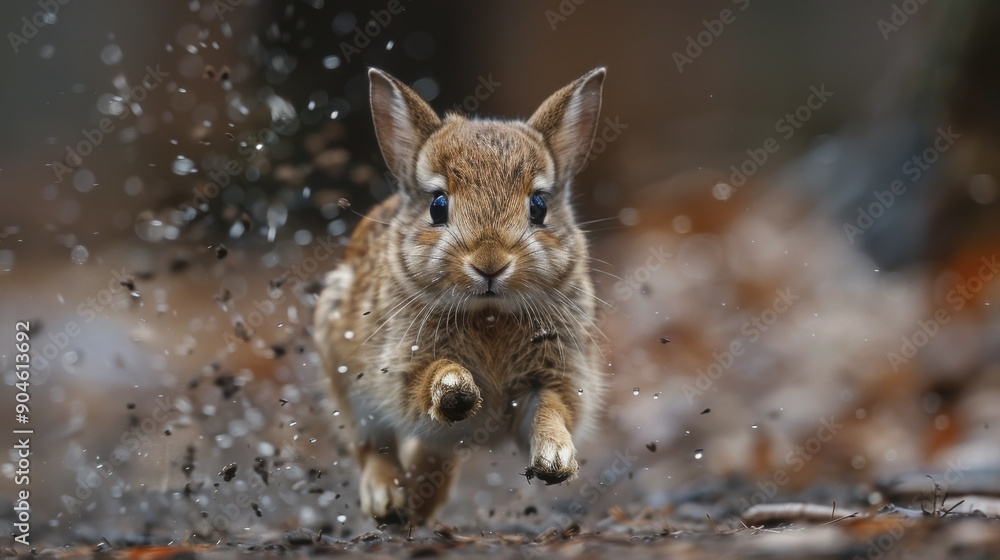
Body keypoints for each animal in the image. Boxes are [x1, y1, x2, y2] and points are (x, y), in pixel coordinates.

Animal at [312, 67, 608, 525]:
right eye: (438, 205)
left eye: (538, 206)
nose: (490, 263)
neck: (488, 312)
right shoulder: (401, 369)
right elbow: (425, 383)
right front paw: (455, 387)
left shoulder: (556, 373)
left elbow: (550, 410)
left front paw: (555, 459)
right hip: (346, 380)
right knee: (373, 446)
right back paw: (387, 502)